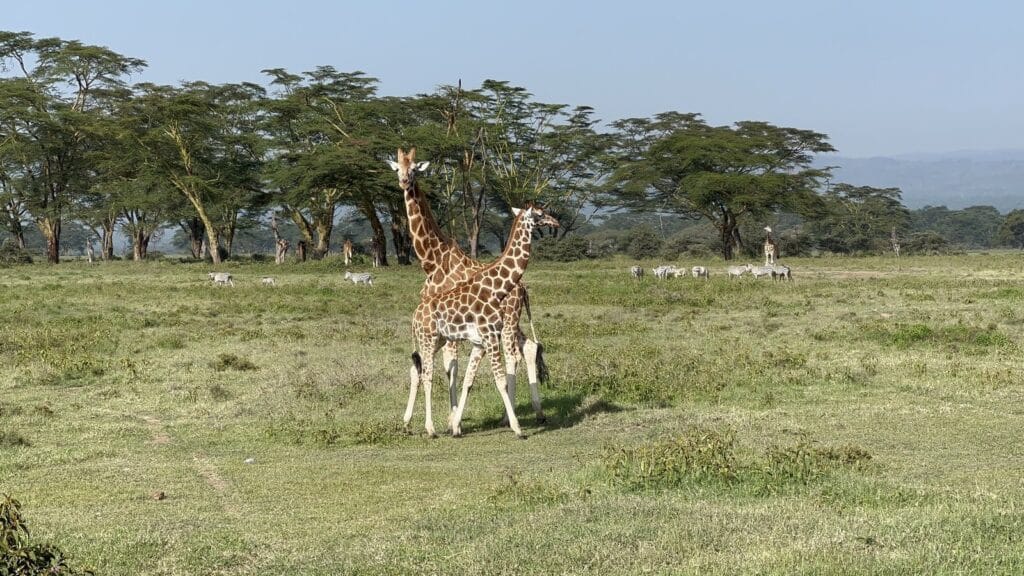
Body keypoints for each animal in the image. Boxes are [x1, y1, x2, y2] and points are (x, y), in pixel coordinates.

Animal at [388, 148, 547, 429]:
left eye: (415, 169)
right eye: (398, 168)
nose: (405, 182)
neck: (433, 261)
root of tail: (523, 289)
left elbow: (451, 367)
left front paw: (453, 420)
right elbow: (423, 367)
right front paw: (411, 419)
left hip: (508, 321)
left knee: (513, 355)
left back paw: (509, 416)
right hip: (512, 322)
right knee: (529, 347)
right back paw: (535, 412)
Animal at [409, 204, 558, 438]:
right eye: (540, 214)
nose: (556, 222)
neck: (496, 288)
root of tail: (415, 315)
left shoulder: (481, 341)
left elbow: (469, 379)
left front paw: (456, 426)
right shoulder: (490, 336)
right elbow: (500, 381)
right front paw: (518, 429)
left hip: (438, 340)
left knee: (420, 371)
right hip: (429, 339)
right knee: (427, 375)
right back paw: (430, 428)